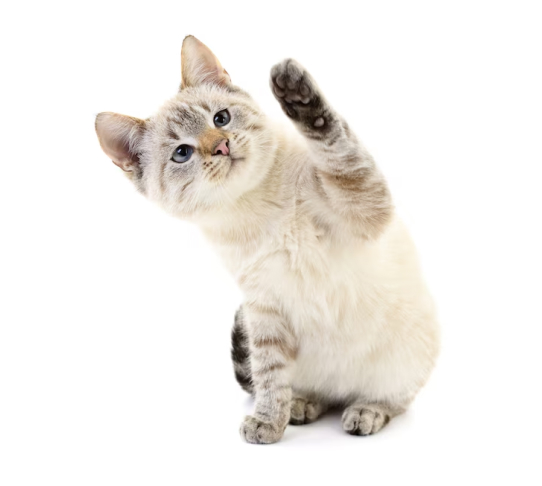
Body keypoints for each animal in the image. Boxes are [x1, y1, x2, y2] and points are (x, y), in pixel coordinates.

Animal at [94, 34, 442, 444]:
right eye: (182, 153)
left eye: (221, 118)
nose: (222, 146)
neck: (256, 206)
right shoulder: (264, 308)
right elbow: (270, 376)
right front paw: (268, 422)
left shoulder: (363, 202)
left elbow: (335, 146)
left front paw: (298, 96)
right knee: (315, 392)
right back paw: (303, 404)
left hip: (404, 360)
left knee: (390, 400)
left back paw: (365, 411)